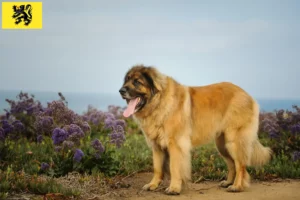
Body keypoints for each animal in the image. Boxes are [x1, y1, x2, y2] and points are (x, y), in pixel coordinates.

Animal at [119, 64, 272, 195]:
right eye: (126, 80)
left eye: (137, 82)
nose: (121, 91)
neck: (159, 102)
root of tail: (247, 95)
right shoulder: (157, 146)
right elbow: (157, 168)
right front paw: (153, 185)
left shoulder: (176, 144)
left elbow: (174, 167)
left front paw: (174, 188)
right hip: (222, 144)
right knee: (232, 164)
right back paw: (228, 182)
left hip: (233, 141)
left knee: (240, 165)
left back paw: (237, 186)